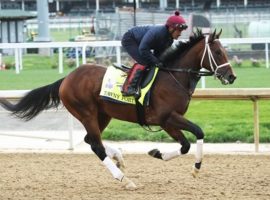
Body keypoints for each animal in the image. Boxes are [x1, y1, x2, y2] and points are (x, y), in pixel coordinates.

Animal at [0, 29, 235, 189]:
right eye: (217, 52)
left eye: (224, 51)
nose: (231, 76)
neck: (173, 77)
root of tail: (66, 79)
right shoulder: (166, 117)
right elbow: (195, 135)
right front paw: (193, 167)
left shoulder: (168, 121)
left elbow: (189, 142)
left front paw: (160, 154)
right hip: (86, 112)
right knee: (96, 145)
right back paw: (123, 178)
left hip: (103, 114)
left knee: (91, 140)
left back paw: (119, 158)